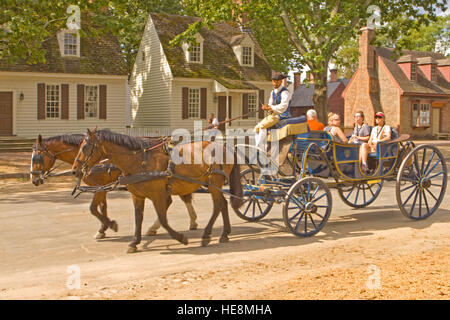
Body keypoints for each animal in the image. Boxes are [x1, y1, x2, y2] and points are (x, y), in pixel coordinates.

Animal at [31, 133, 199, 240]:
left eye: (37, 157)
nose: (34, 179)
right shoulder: (102, 188)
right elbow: (103, 207)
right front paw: (103, 228)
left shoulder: (100, 186)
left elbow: (93, 208)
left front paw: (109, 225)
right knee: (176, 199)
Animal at [72, 128, 244, 252]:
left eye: (85, 147)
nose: (74, 170)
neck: (140, 161)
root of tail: (224, 146)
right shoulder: (137, 196)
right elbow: (138, 218)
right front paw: (134, 242)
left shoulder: (157, 194)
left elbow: (163, 218)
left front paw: (180, 238)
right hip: (213, 184)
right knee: (223, 204)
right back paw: (224, 234)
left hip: (214, 182)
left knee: (217, 206)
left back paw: (207, 235)